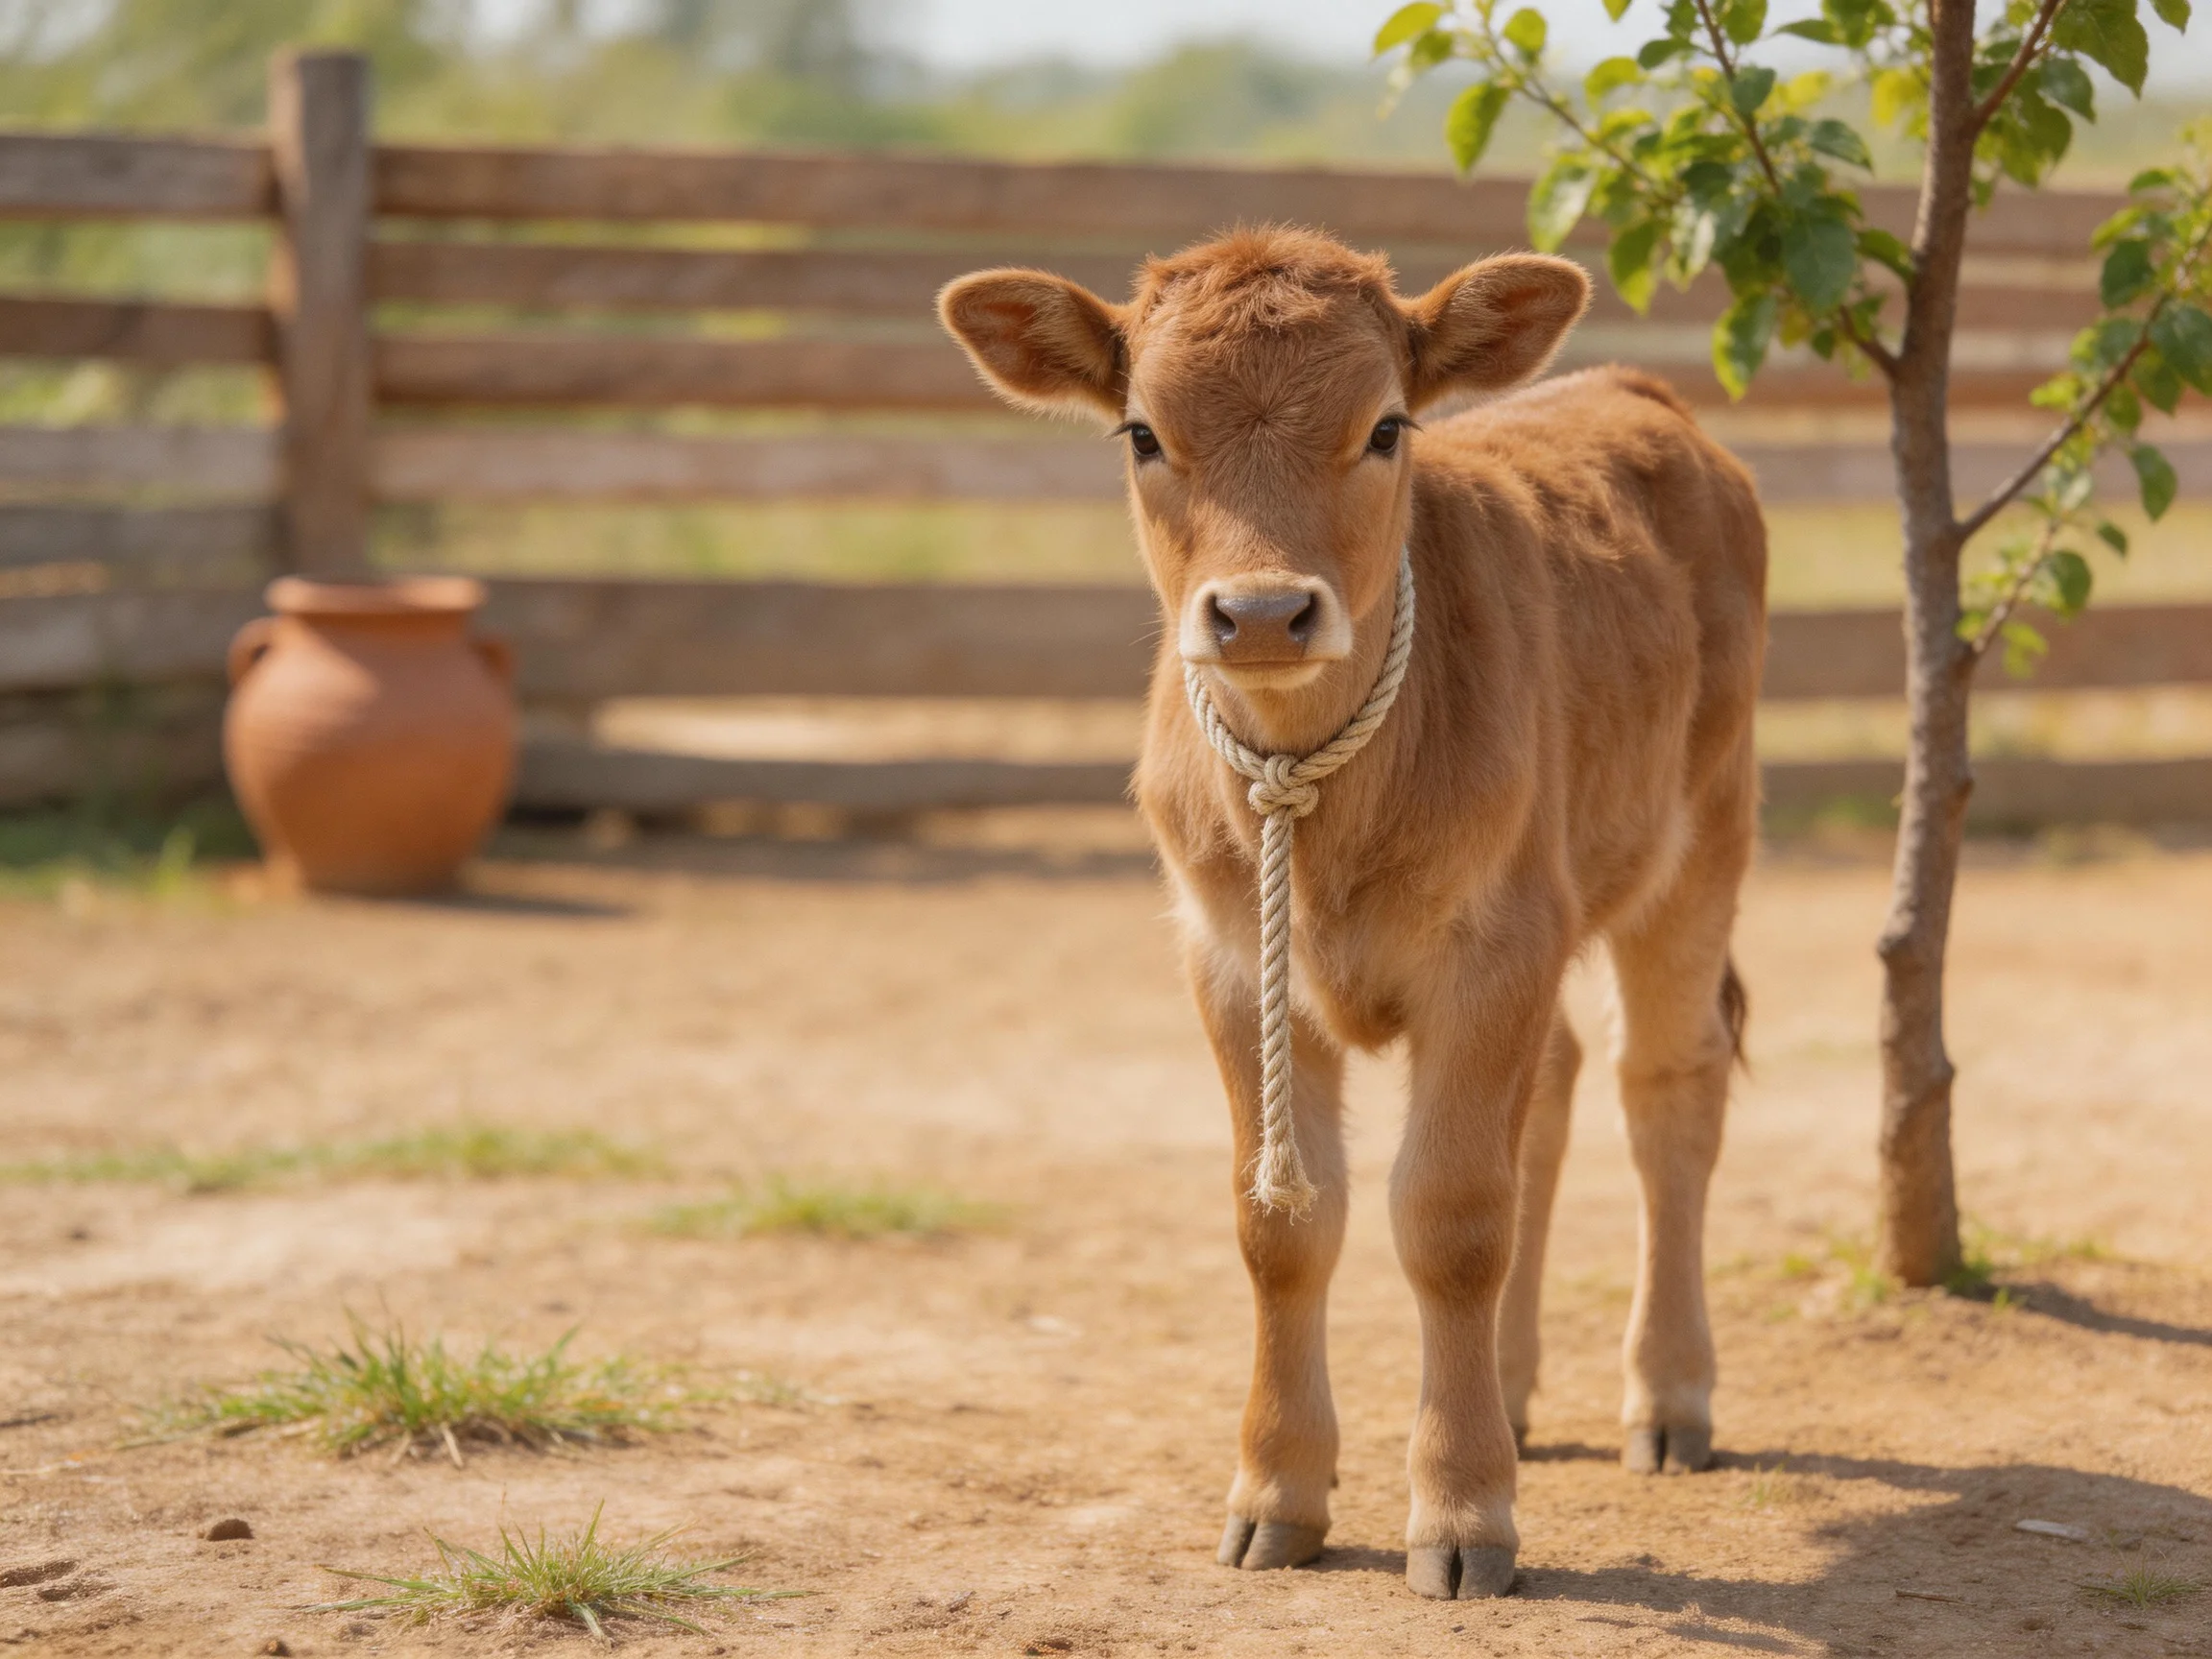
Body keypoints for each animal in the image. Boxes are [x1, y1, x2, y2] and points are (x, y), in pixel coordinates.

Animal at [938, 225, 1765, 1601]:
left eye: (1384, 428)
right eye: (1142, 433)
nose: (1264, 612)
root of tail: (1627, 389)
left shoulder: (1494, 945)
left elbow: (1451, 1216)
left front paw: (1466, 1512)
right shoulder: (1229, 961)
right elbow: (1282, 1222)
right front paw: (1278, 1493)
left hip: (1700, 837)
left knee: (1667, 1093)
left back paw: (1671, 1396)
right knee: (1555, 1089)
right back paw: (1516, 1387)